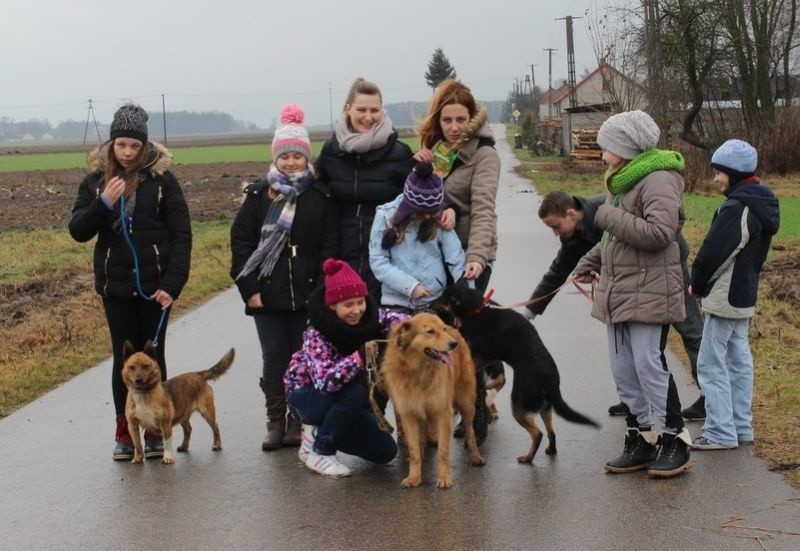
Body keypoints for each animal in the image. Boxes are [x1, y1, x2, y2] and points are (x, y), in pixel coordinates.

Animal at [382, 312, 488, 490]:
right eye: (430, 332)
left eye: (442, 329)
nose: (453, 344)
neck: (419, 371)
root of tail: (455, 329)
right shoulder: (409, 415)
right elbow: (414, 450)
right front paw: (414, 476)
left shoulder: (443, 413)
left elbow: (443, 450)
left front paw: (444, 477)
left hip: (466, 403)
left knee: (469, 430)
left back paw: (475, 456)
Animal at [432, 280, 600, 466]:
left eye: (442, 298)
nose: (430, 304)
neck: (478, 309)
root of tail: (551, 381)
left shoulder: (484, 354)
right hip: (545, 408)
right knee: (551, 432)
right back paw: (550, 450)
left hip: (519, 405)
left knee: (538, 434)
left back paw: (527, 458)